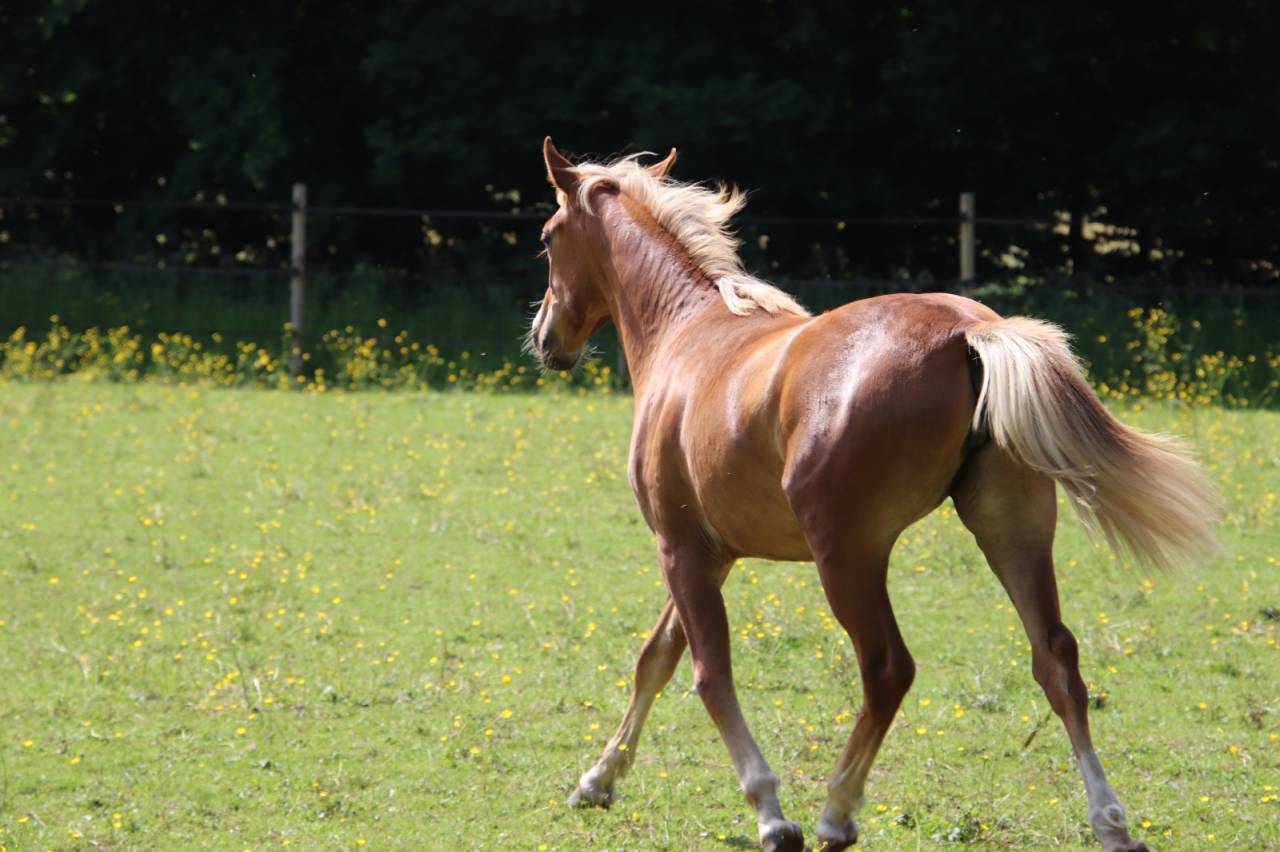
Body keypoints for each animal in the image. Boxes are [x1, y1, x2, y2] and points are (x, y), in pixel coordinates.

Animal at [527, 137, 1218, 852]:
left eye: (548, 238)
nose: (545, 338)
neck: (687, 334)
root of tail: (969, 333)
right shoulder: (713, 553)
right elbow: (656, 659)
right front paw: (596, 781)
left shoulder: (680, 548)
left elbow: (708, 675)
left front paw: (771, 813)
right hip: (1012, 530)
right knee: (1056, 657)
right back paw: (1111, 820)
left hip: (848, 557)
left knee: (888, 670)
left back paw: (836, 811)